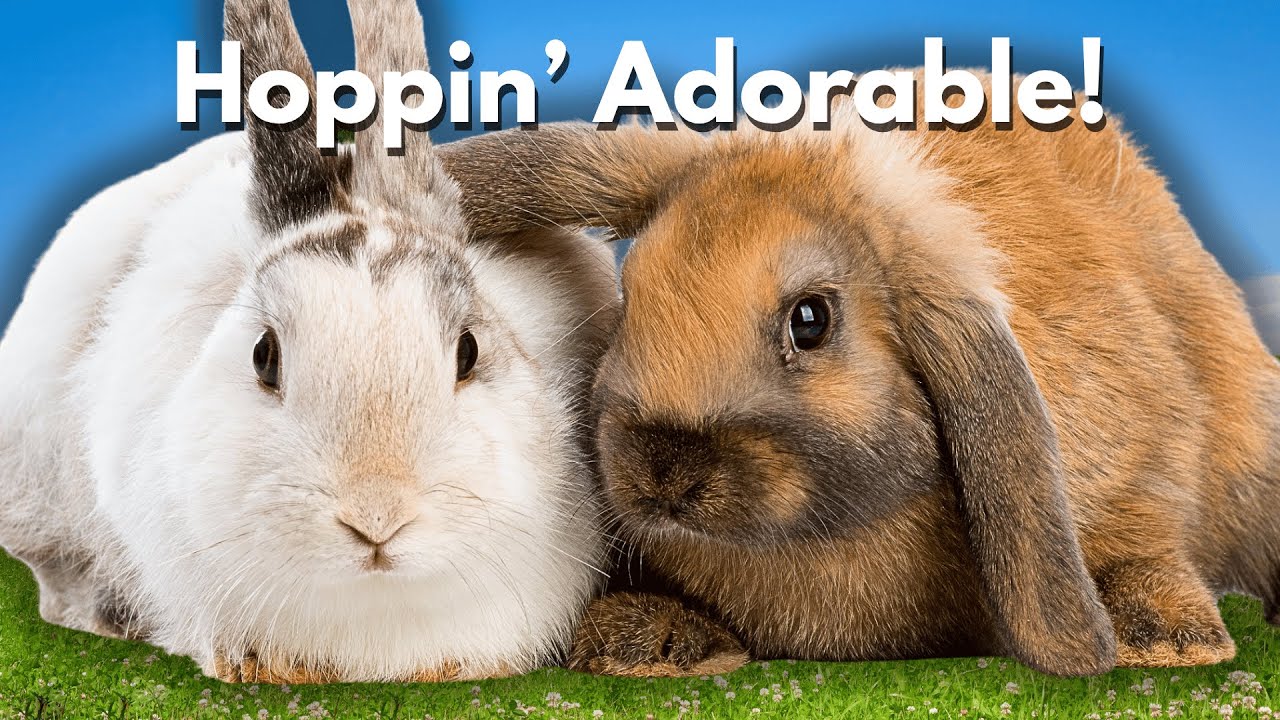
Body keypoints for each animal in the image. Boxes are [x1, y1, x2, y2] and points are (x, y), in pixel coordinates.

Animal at [436, 75, 1280, 678]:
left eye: (810, 321)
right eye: (631, 295)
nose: (662, 471)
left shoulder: (1143, 459)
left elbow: (1146, 531)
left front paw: (1165, 640)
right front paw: (646, 643)